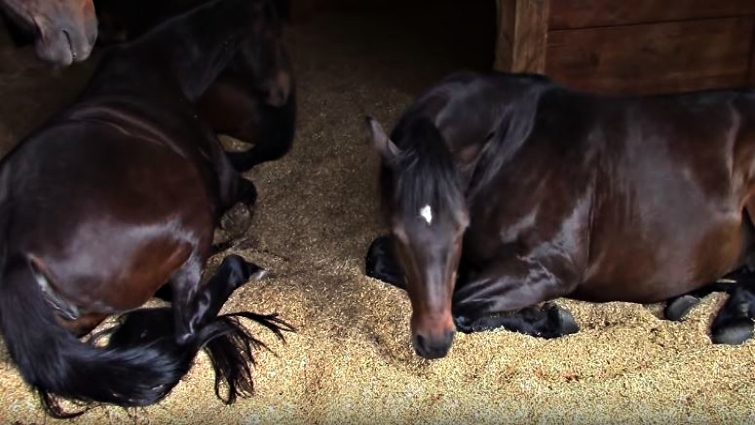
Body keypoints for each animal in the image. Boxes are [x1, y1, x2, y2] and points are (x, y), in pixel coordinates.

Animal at [0, 0, 296, 417]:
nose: (284, 92)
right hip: (191, 228)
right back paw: (243, 268)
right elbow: (248, 192)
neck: (162, 69)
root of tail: (17, 256)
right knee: (188, 321)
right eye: (273, 34)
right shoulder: (228, 183)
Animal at [364, 71, 755, 359]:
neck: (509, 149)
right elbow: (378, 259)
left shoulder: (550, 268)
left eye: (461, 228)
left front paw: (550, 318)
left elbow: (461, 302)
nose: (434, 341)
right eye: (398, 230)